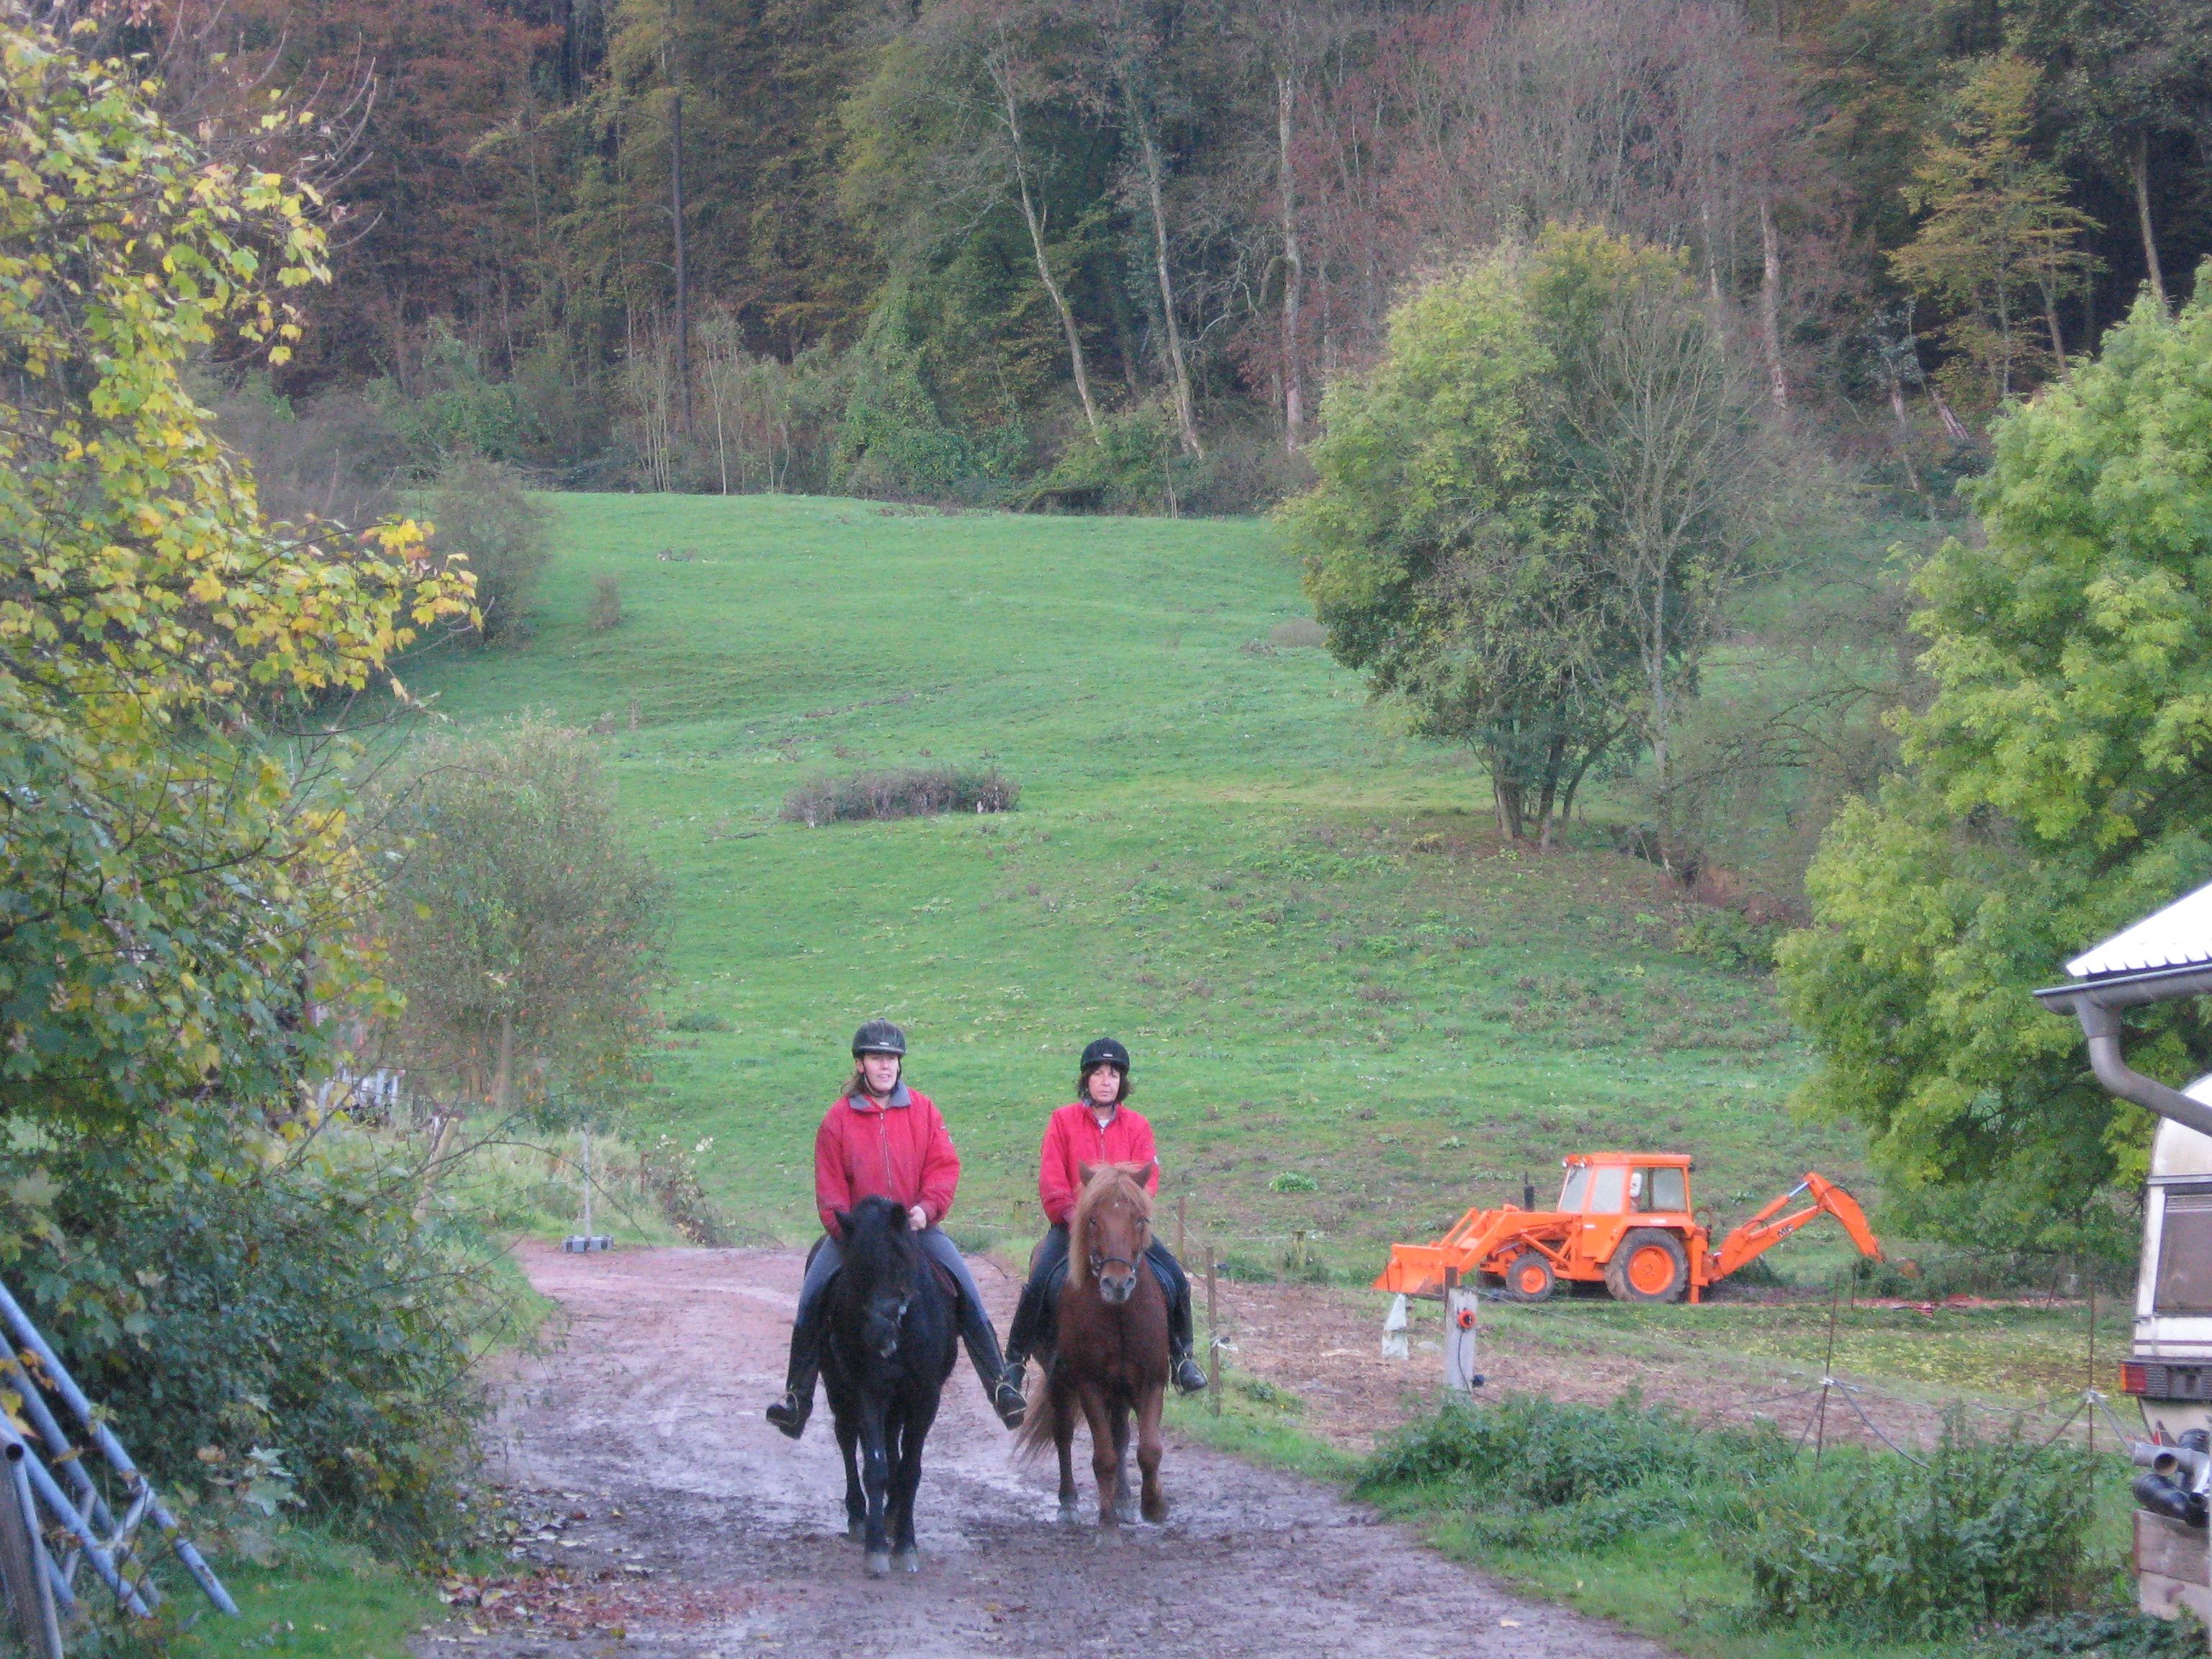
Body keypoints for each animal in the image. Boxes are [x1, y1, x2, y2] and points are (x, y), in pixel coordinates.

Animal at [816, 1195, 957, 1575]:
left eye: (898, 1265)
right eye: (855, 1269)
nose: (878, 1337)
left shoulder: (924, 1397)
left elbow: (909, 1469)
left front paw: (906, 1545)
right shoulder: (870, 1392)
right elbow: (875, 1467)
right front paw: (877, 1548)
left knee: (894, 1446)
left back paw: (893, 1514)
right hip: (839, 1390)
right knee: (848, 1439)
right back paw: (859, 1516)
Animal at [1015, 1161, 1169, 1533]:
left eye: (1139, 1219)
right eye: (1093, 1219)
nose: (1117, 1283)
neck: (1119, 1313)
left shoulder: (1151, 1380)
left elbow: (1148, 1449)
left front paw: (1152, 1505)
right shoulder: (1089, 1384)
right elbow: (1103, 1458)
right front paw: (1107, 1525)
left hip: (1122, 1386)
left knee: (1122, 1435)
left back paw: (1125, 1500)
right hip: (1060, 1379)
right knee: (1064, 1434)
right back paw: (1069, 1504)